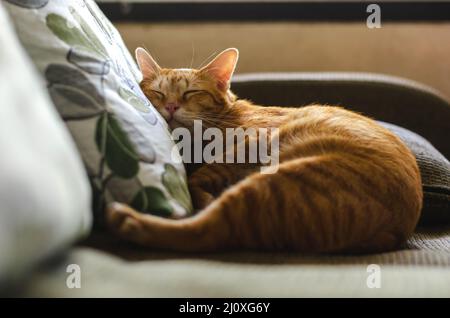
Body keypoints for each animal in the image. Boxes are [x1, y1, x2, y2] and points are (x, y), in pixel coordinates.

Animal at [104, 47, 422, 253]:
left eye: (191, 92)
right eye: (158, 93)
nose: (170, 106)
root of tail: (396, 228)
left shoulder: (250, 143)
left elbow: (199, 178)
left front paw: (202, 194)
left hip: (278, 180)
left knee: (206, 232)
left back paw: (129, 219)